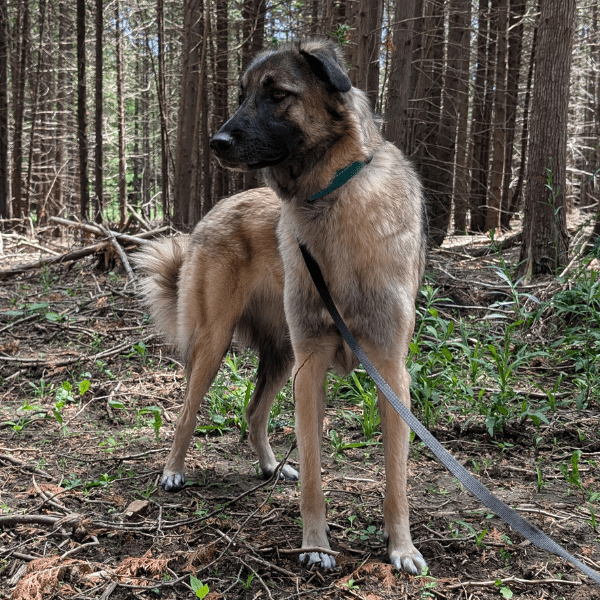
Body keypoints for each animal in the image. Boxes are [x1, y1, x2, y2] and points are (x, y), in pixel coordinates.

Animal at [136, 38, 426, 576]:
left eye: (277, 95)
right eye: (242, 94)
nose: (216, 142)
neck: (329, 197)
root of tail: (214, 210)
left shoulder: (390, 371)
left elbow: (396, 476)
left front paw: (401, 547)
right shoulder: (310, 368)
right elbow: (314, 473)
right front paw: (315, 545)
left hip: (282, 356)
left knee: (253, 412)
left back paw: (270, 466)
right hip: (215, 345)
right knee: (186, 413)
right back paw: (172, 472)